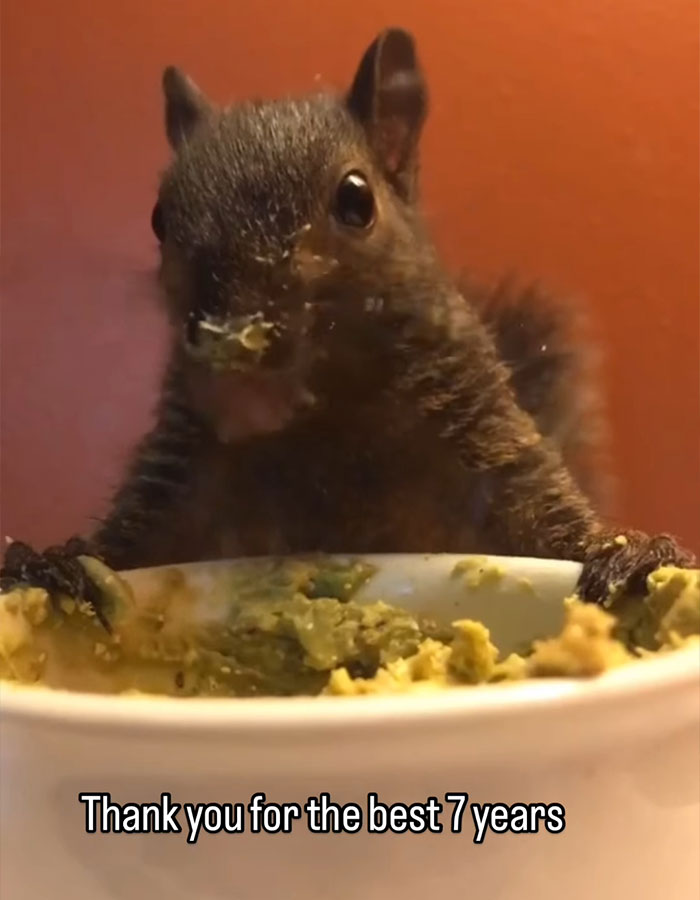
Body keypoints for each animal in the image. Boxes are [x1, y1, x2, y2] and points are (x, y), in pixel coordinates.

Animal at [1, 27, 694, 623]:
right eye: (158, 218)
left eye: (356, 200)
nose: (237, 356)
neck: (329, 425)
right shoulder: (186, 469)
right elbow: (139, 541)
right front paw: (50, 565)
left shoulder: (485, 440)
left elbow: (546, 525)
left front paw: (637, 553)